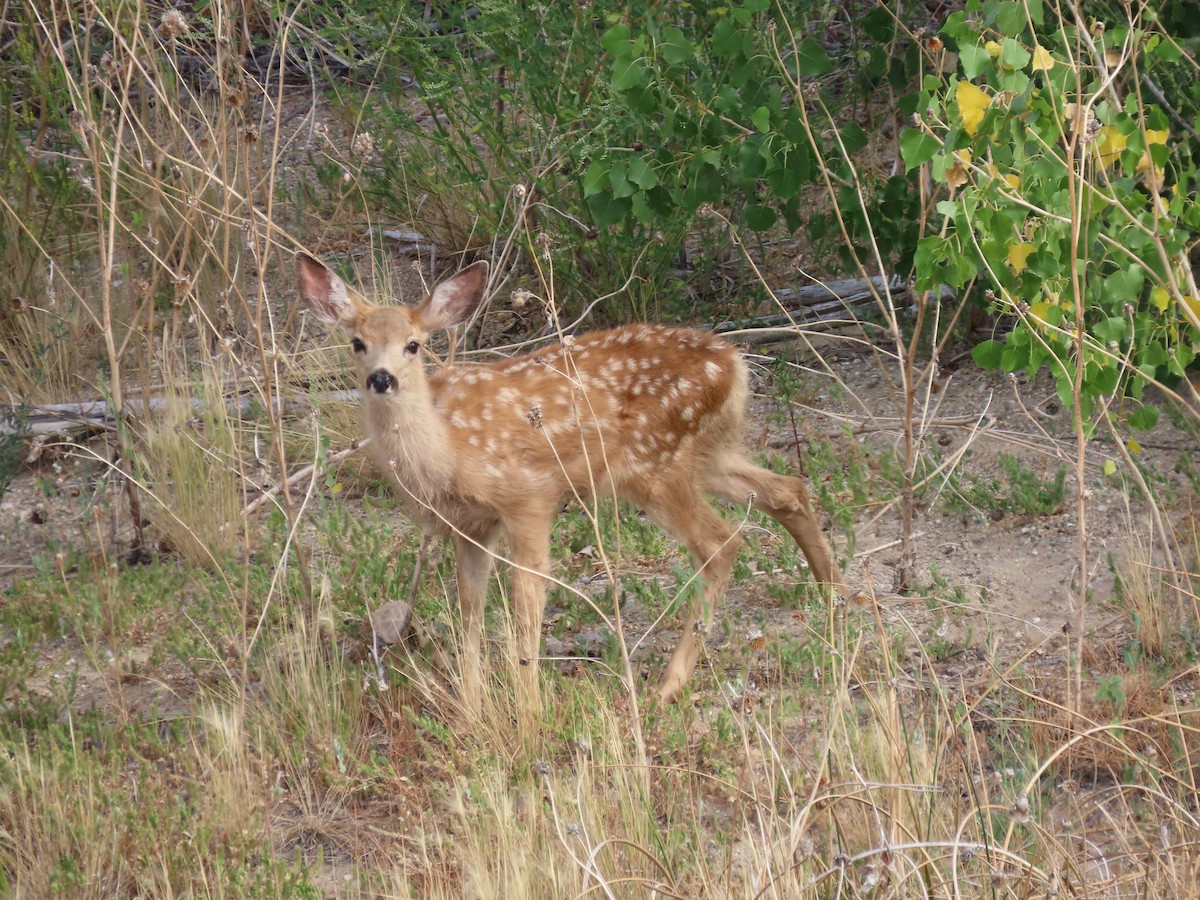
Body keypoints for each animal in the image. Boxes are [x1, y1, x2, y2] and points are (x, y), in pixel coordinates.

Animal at [297, 252, 847, 711]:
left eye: (413, 345)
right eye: (357, 343)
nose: (381, 378)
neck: (449, 449)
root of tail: (734, 363)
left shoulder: (528, 497)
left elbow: (526, 603)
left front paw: (528, 706)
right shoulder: (470, 526)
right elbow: (470, 608)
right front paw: (472, 704)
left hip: (654, 465)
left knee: (721, 542)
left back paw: (667, 686)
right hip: (703, 453)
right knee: (786, 488)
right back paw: (835, 598)